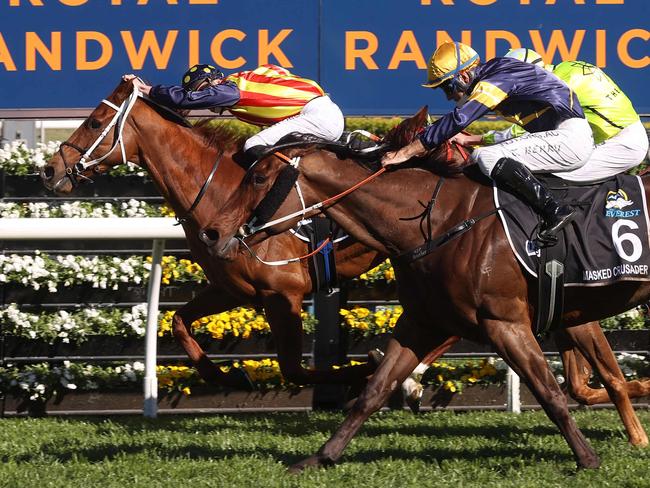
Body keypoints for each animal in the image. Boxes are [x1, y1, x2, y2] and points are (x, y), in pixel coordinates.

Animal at [204, 107, 648, 468]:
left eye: (259, 177)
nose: (213, 232)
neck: (441, 220)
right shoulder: (421, 321)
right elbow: (375, 389)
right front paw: (321, 456)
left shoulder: (505, 321)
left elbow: (550, 391)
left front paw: (588, 458)